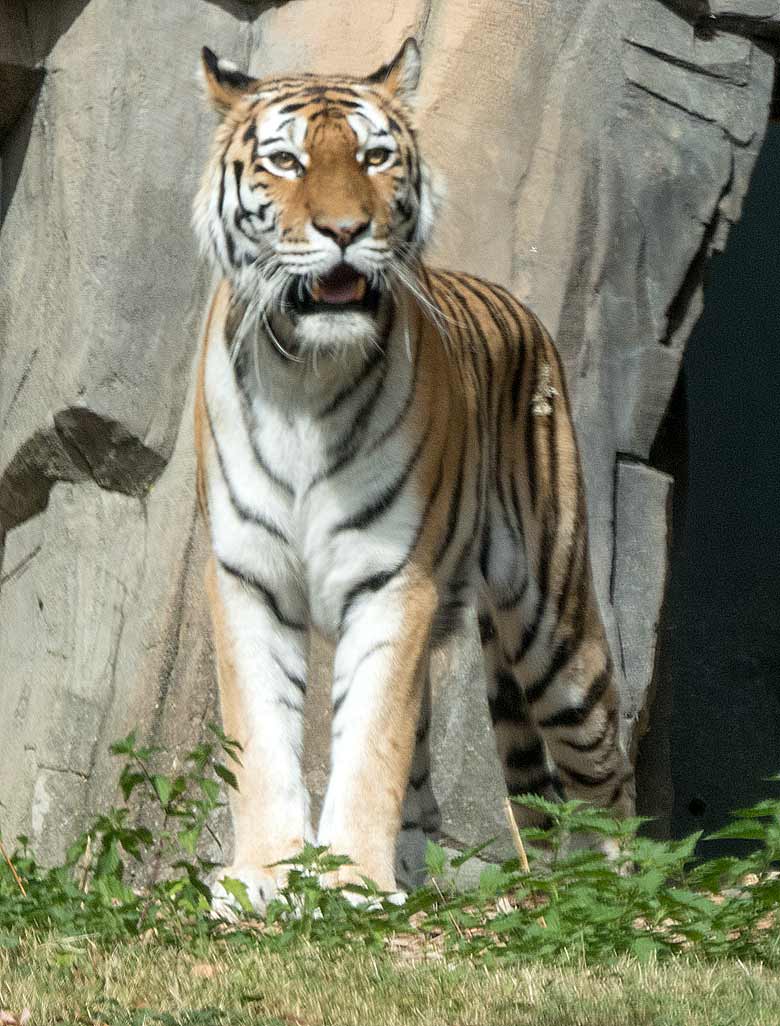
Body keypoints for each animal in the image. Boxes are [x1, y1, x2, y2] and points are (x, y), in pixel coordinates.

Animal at [193, 36, 632, 911]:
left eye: (375, 156)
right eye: (286, 161)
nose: (344, 229)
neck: (305, 375)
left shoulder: (393, 578)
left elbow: (371, 741)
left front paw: (349, 882)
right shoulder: (246, 574)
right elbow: (260, 734)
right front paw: (265, 875)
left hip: (557, 627)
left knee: (607, 776)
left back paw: (623, 888)